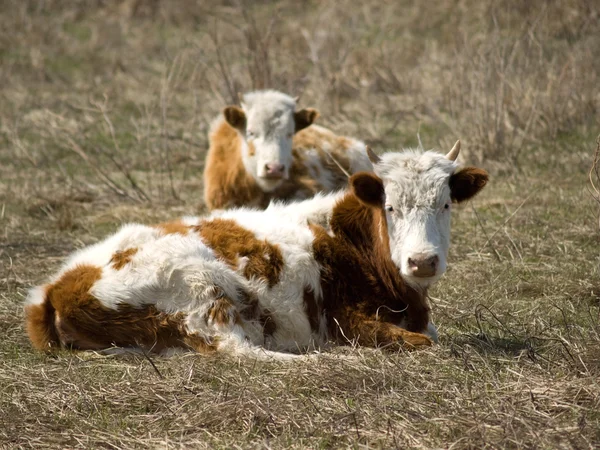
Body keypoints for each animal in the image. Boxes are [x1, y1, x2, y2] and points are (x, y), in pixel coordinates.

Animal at [25, 142, 490, 360]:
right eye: (390, 207)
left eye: (445, 204)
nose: (422, 261)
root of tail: (55, 285)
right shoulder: (346, 321)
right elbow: (422, 342)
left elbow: (430, 334)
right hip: (203, 288)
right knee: (235, 350)